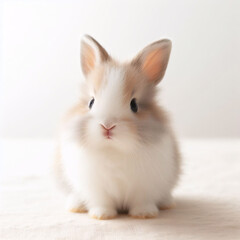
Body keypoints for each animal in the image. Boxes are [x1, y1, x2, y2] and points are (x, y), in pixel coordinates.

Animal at [54, 34, 181, 220]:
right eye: (91, 102)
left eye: (134, 105)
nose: (107, 126)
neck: (113, 149)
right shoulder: (96, 188)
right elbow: (102, 201)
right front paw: (102, 215)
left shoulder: (144, 186)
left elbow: (141, 200)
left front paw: (144, 214)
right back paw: (76, 206)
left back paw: (167, 203)